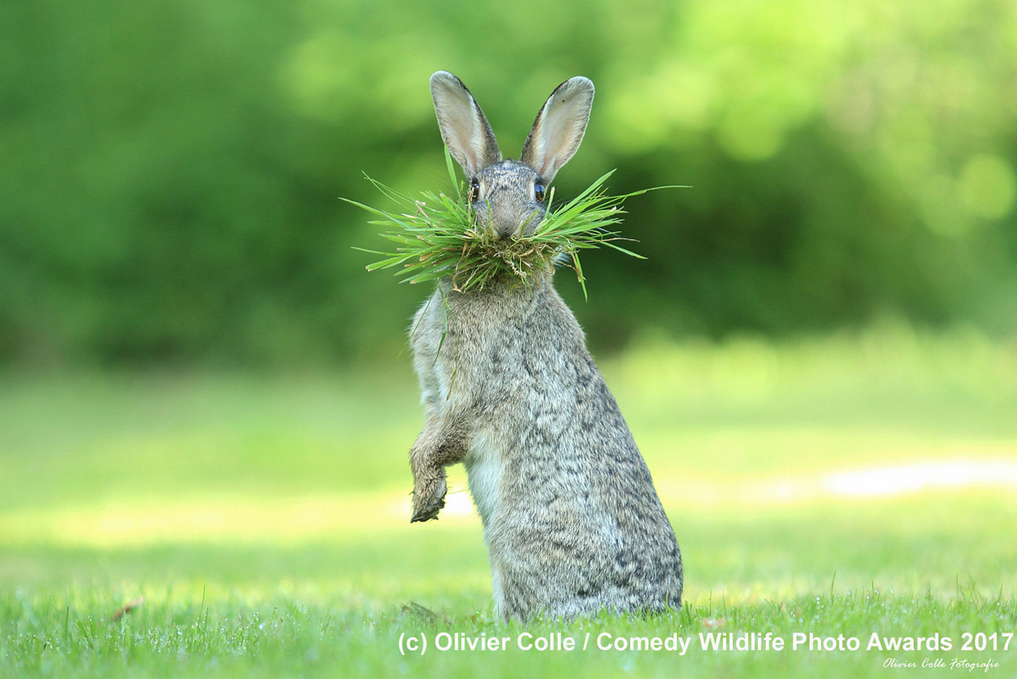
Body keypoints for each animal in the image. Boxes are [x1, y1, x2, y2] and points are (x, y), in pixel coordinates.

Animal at [404, 73, 683, 622]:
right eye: (474, 190)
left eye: (538, 192)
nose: (506, 229)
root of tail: (655, 608)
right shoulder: (434, 392)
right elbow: (427, 438)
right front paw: (431, 499)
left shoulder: (471, 391)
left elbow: (440, 439)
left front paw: (425, 501)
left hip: (515, 538)